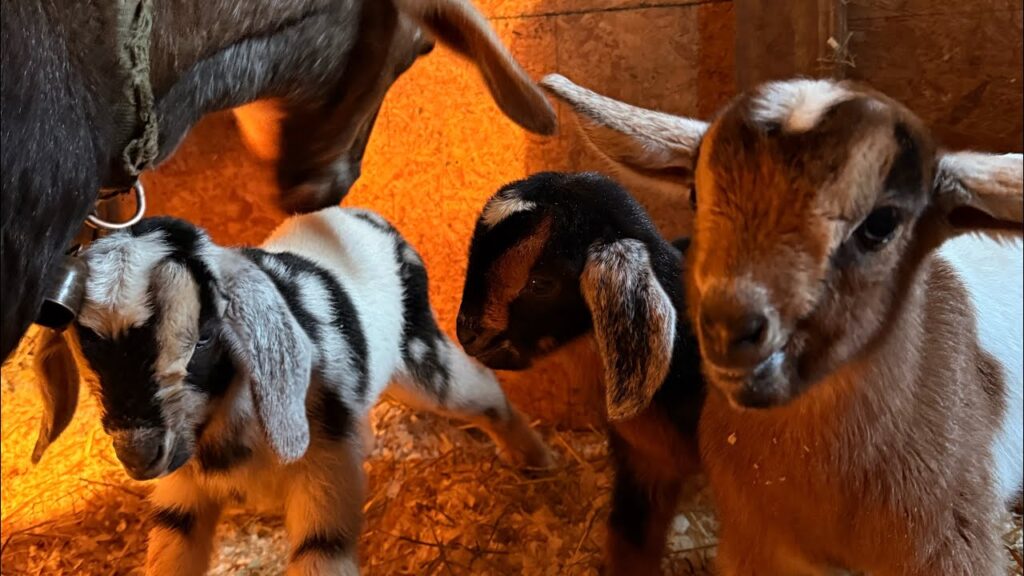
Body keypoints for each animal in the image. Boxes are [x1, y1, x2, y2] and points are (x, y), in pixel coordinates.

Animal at [34, 207, 552, 575]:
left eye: (204, 338)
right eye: (88, 351)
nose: (139, 455)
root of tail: (364, 216)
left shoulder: (324, 469)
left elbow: (320, 551)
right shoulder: (182, 493)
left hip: (420, 353)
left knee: (479, 388)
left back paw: (536, 460)